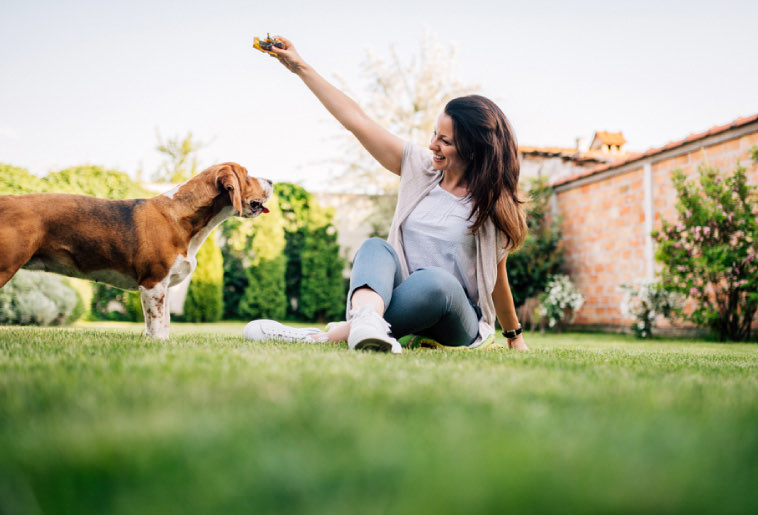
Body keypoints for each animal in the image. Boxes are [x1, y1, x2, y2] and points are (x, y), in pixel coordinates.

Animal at [0, 161, 274, 338]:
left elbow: (163, 323)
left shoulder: (162, 287)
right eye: (247, 175)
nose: (272, 180)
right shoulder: (153, 284)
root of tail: (7, 199)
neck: (181, 215)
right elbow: (158, 324)